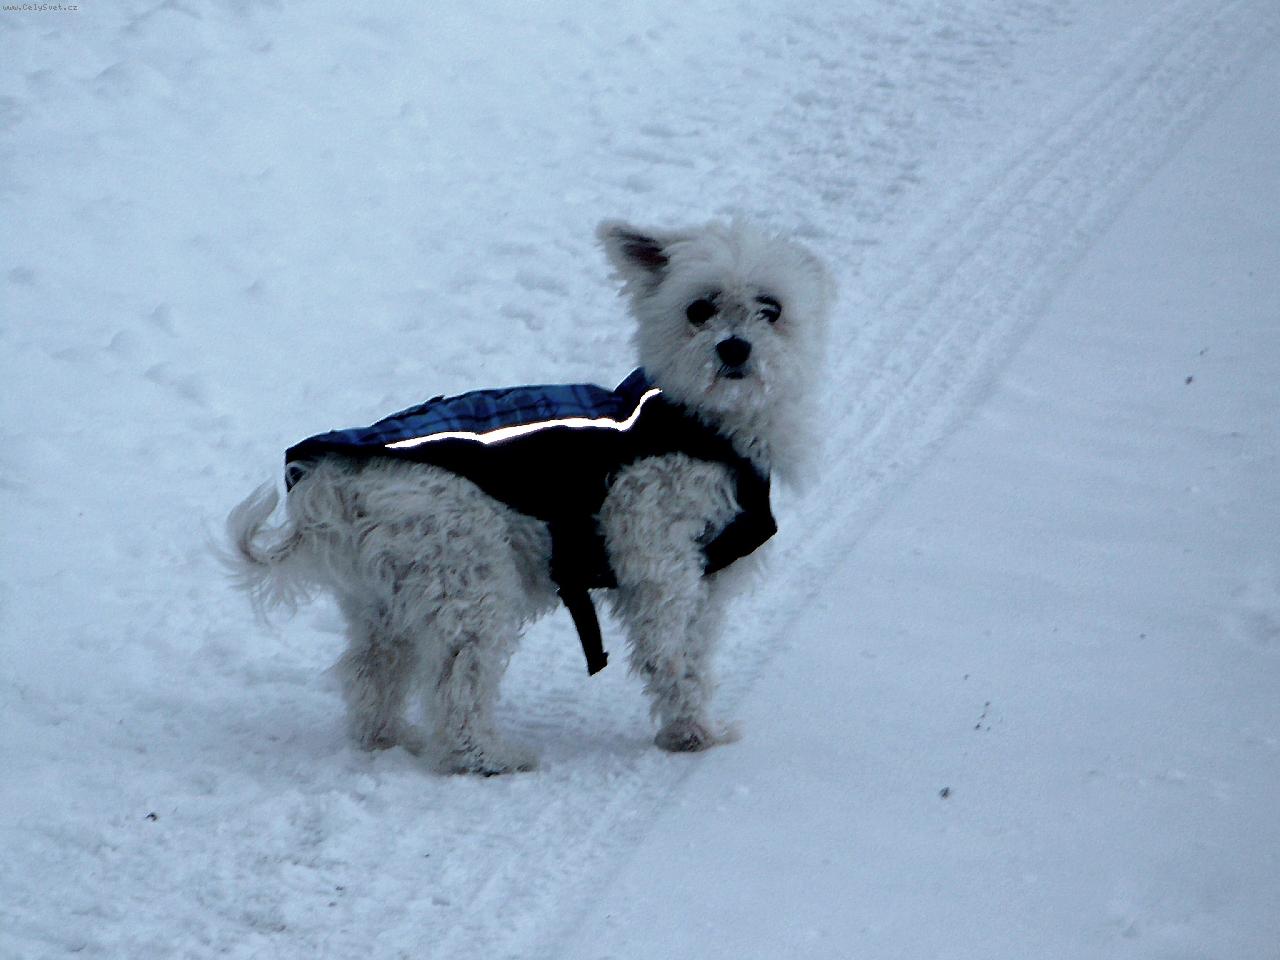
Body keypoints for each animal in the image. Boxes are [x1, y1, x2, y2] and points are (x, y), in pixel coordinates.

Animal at [225, 219, 834, 774]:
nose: (734, 349)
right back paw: (487, 757)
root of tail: (335, 478)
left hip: (383, 599)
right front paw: (692, 733)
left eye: (771, 308)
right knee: (459, 684)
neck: (700, 425)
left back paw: (388, 739)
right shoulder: (659, 560)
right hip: (468, 580)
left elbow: (696, 652)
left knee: (371, 671)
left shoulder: (707, 576)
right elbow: (672, 654)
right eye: (700, 309)